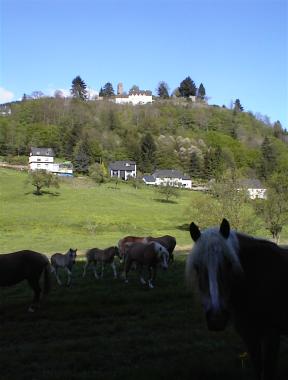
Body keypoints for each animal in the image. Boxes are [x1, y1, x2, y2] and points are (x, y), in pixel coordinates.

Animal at [186, 218, 288, 378]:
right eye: (197, 267)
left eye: (229, 264)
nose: (216, 319)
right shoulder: (249, 336)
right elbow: (258, 370)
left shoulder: (272, 335)